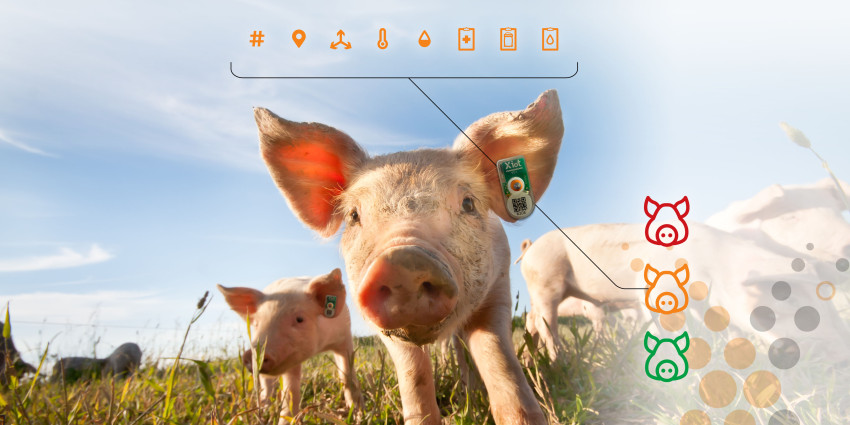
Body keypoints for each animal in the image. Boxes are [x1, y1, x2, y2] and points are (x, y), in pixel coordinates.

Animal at [216, 268, 362, 422]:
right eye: (256, 323)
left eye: (299, 319)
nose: (252, 354)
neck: (320, 347)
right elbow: (291, 391)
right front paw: (286, 420)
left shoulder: (344, 336)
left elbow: (348, 375)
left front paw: (359, 414)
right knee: (266, 385)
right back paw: (265, 408)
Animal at [255, 90, 564, 424]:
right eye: (353, 216)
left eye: (468, 203)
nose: (402, 261)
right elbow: (413, 376)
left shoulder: (498, 287)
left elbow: (499, 360)